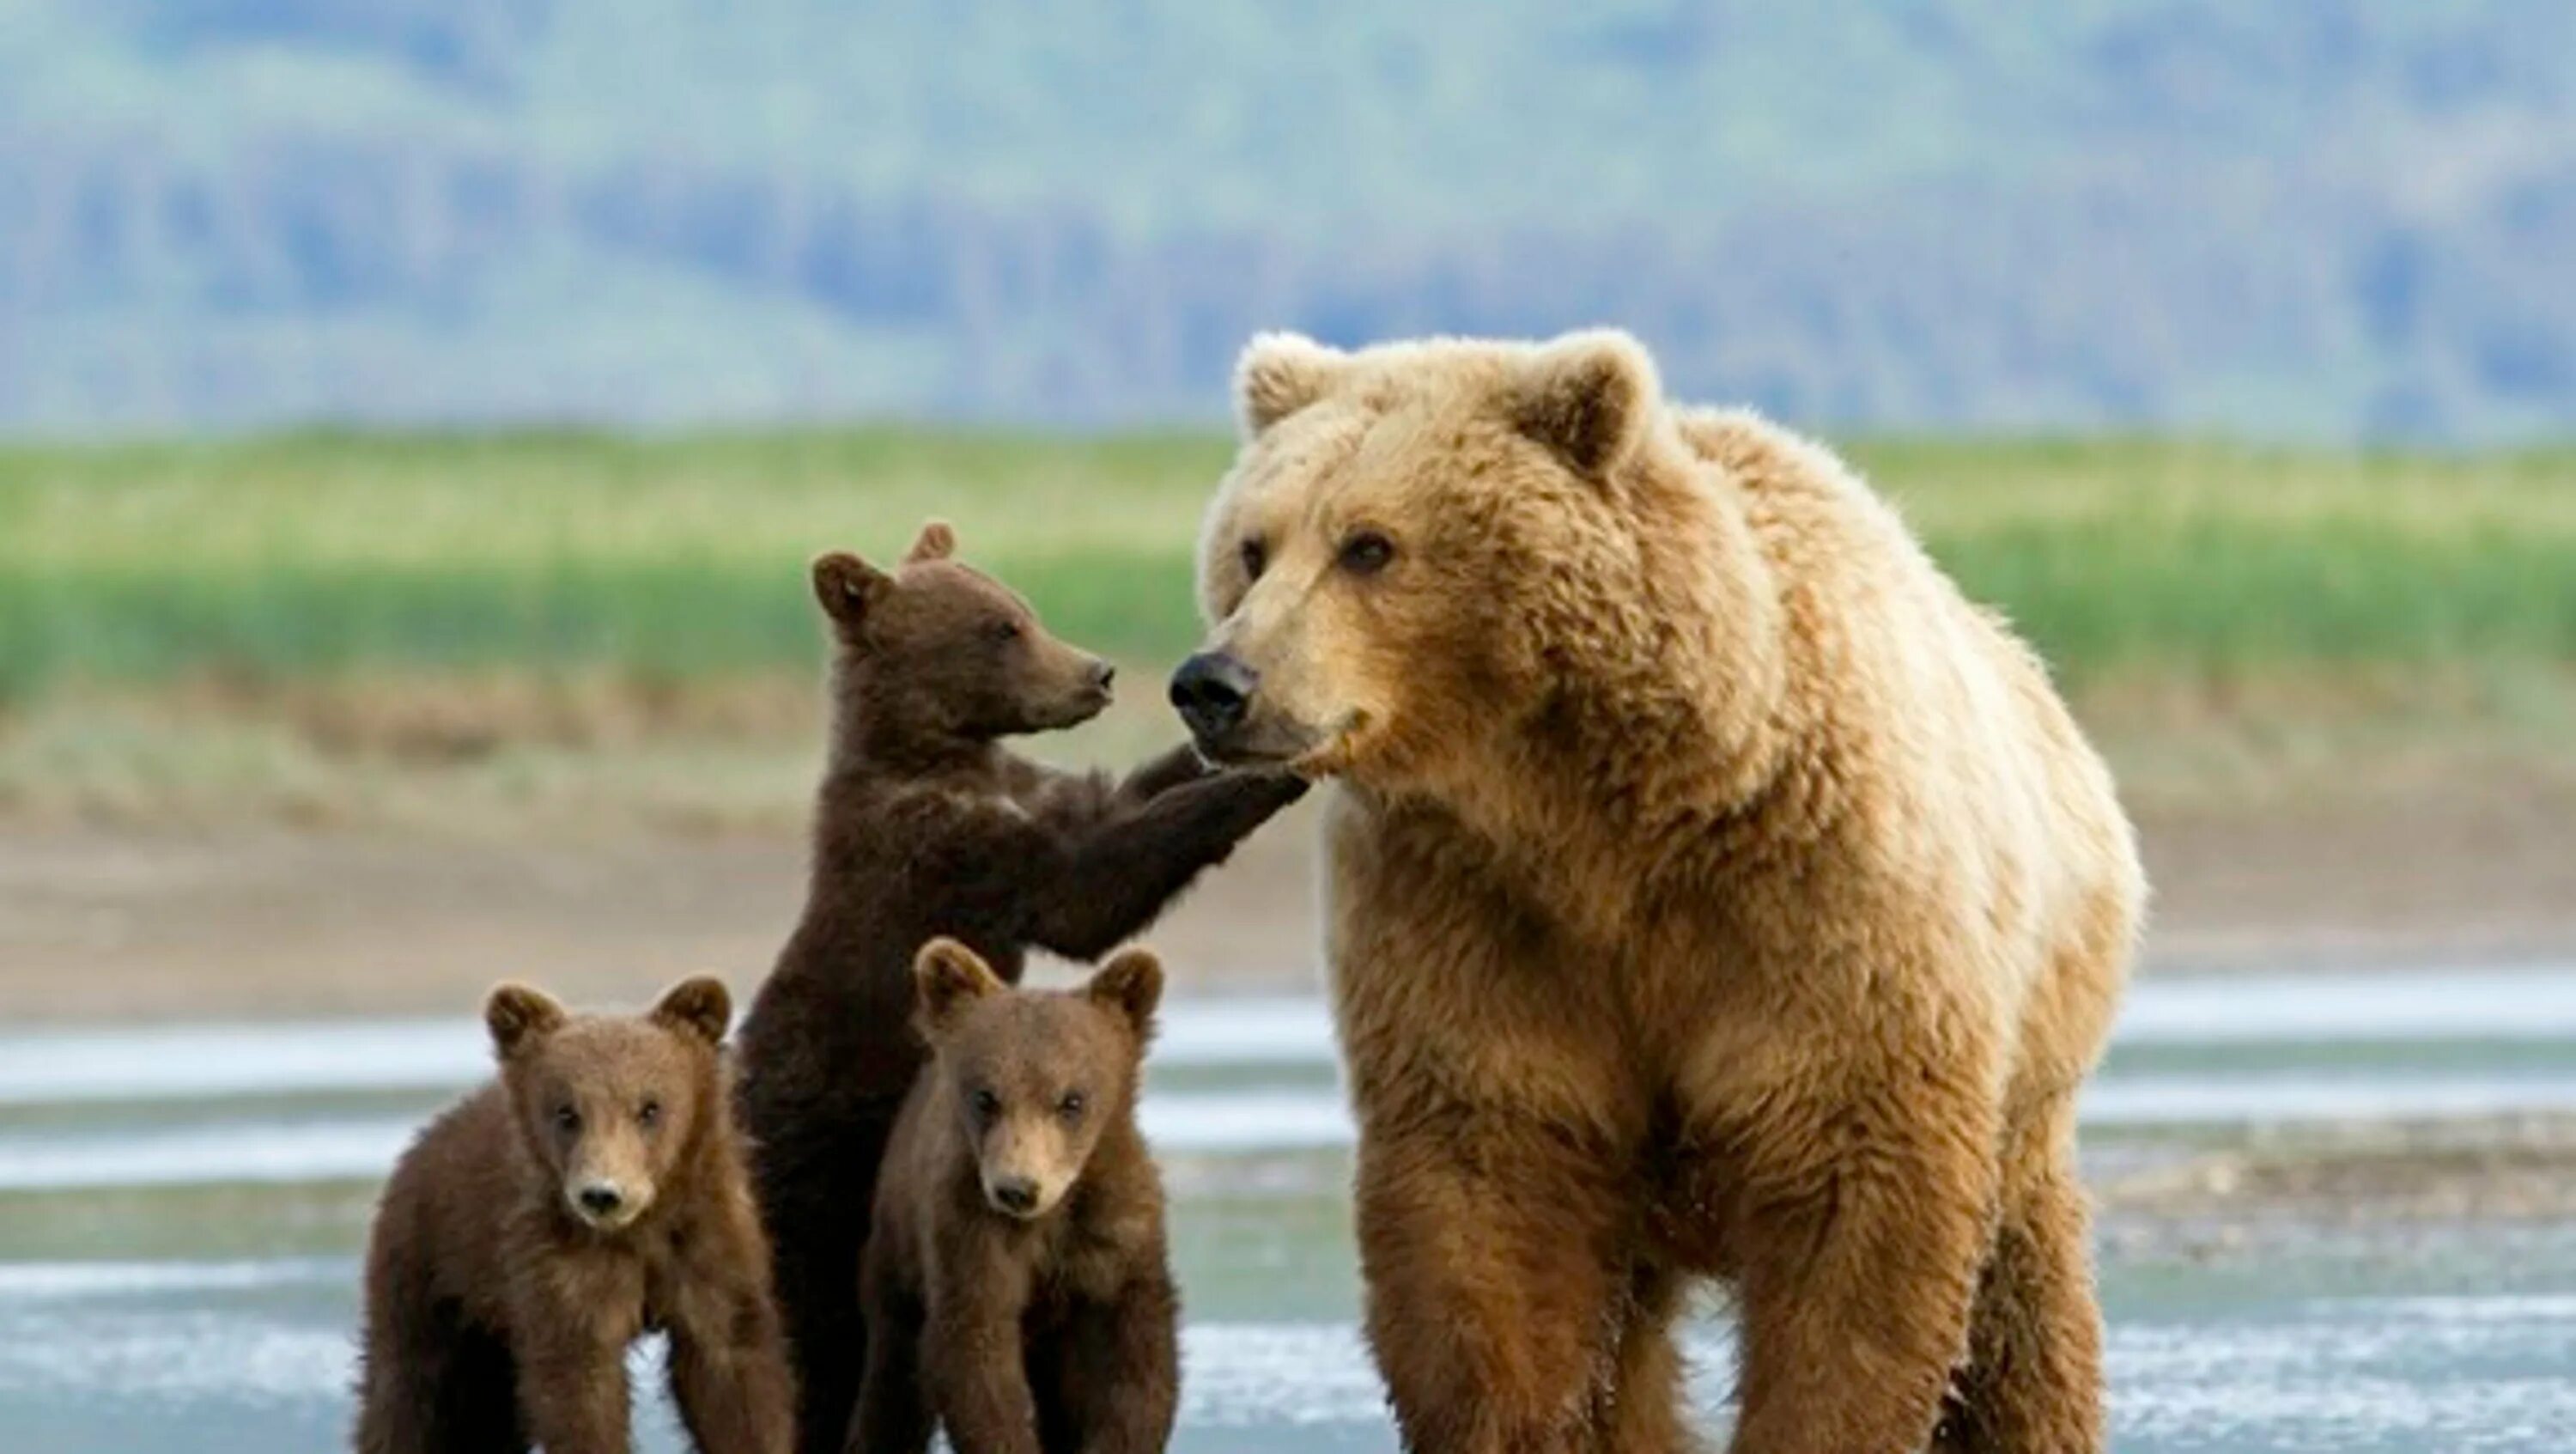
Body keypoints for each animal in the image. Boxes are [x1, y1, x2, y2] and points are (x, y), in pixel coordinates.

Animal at [1180, 332, 2143, 1454]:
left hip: (2029, 1074)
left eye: (1369, 545)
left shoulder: (1823, 910)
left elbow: (1852, 1226)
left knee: (2023, 1315)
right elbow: (1491, 1216)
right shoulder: (1471, 915)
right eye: (1253, 546)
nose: (1215, 682)